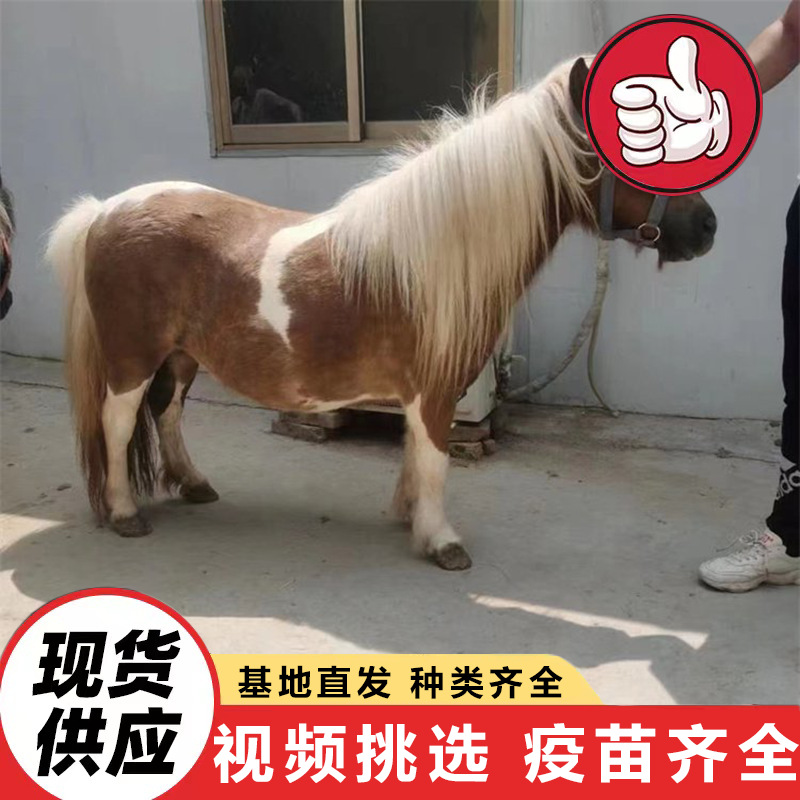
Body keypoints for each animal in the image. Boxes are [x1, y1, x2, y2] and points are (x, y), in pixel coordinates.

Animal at [47, 56, 717, 570]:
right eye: (640, 144)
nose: (707, 225)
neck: (437, 252)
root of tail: (104, 211)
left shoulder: (424, 389)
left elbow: (415, 452)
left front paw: (408, 516)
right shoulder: (436, 387)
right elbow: (436, 457)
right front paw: (441, 541)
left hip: (181, 356)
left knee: (166, 414)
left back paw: (194, 486)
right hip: (133, 357)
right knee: (117, 422)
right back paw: (126, 514)